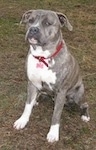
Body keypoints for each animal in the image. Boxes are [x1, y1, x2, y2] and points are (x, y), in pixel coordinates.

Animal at [13, 9, 90, 143]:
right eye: (30, 20)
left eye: (48, 23)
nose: (33, 29)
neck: (42, 56)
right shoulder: (32, 84)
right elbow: (27, 106)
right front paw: (22, 121)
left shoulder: (61, 91)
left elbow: (56, 115)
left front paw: (53, 133)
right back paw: (36, 101)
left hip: (77, 95)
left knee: (85, 104)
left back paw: (85, 116)